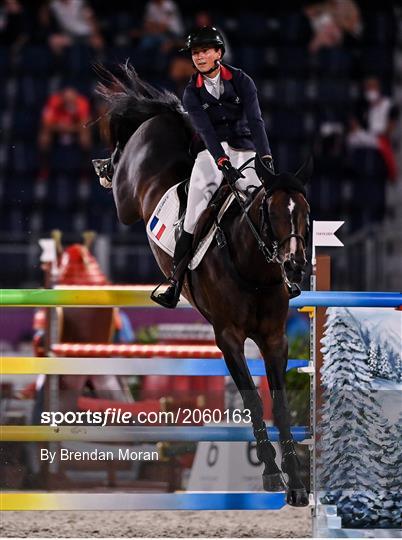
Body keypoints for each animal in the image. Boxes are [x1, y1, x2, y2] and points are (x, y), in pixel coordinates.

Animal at [96, 64, 310, 506]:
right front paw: (270, 474)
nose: (295, 266)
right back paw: (104, 166)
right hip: (128, 198)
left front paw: (297, 483)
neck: (254, 270)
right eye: (271, 212)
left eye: (305, 212)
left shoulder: (275, 338)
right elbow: (252, 399)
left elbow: (280, 405)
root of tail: (167, 119)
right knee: (123, 166)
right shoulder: (228, 337)